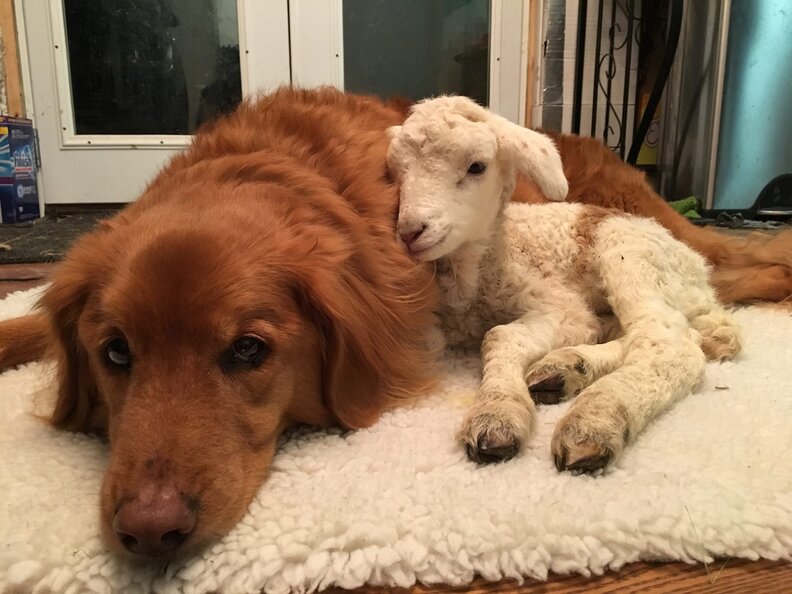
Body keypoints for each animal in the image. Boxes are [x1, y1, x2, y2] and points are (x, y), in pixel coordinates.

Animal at [386, 96, 741, 472]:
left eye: (476, 167)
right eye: (397, 172)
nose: (410, 232)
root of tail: (701, 278)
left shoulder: (561, 306)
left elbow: (501, 335)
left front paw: (496, 411)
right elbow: (430, 342)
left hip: (631, 257)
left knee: (671, 344)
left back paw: (596, 416)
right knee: (637, 333)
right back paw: (566, 368)